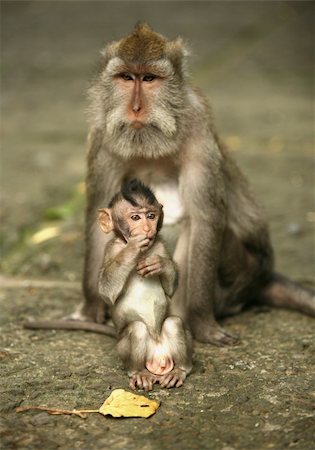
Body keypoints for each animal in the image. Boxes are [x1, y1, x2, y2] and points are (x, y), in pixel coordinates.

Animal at [80, 22, 314, 344]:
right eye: (126, 77)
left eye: (149, 78)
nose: (136, 108)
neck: (150, 145)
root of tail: (262, 278)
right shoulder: (103, 140)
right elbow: (98, 214)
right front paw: (92, 305)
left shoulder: (199, 132)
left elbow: (205, 220)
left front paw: (203, 323)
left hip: (237, 278)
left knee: (193, 226)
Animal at [99, 179, 193, 390]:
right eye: (135, 217)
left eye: (151, 216)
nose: (148, 229)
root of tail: (158, 359)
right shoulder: (111, 249)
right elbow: (106, 292)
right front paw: (132, 248)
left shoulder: (160, 245)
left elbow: (170, 289)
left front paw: (160, 264)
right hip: (123, 350)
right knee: (137, 329)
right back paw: (139, 373)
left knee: (173, 323)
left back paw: (179, 370)